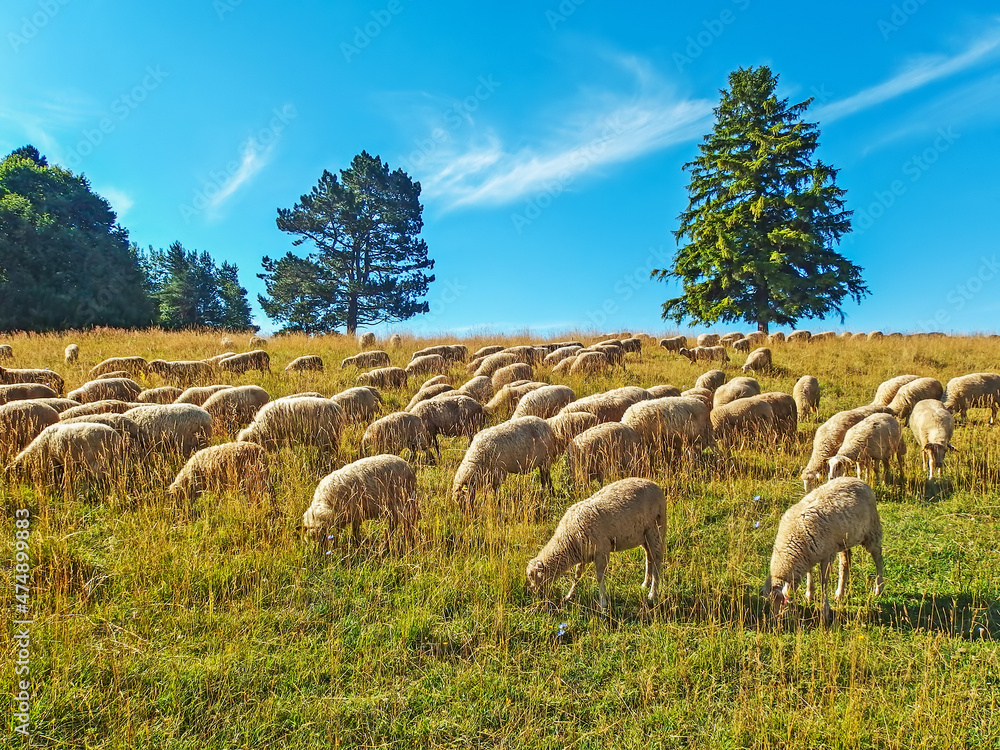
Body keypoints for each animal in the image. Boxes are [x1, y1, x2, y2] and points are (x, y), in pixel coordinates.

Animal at [526, 478, 665, 611]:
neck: (568, 540)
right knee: (649, 556)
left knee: (657, 560)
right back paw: (645, 584)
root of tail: (654, 485)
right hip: (643, 535)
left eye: (532, 576)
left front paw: (603, 603)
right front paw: (569, 595)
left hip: (656, 528)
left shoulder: (601, 552)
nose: (533, 593)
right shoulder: (583, 553)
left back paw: (652, 594)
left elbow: (599, 577)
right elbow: (577, 576)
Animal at [762, 477, 884, 625]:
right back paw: (840, 592)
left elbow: (823, 582)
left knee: (878, 557)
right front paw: (809, 594)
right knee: (845, 562)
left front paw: (825, 611)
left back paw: (879, 588)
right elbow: (810, 573)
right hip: (844, 540)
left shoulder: (827, 554)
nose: (776, 619)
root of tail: (856, 479)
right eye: (769, 600)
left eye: (782, 600)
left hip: (872, 530)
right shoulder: (809, 554)